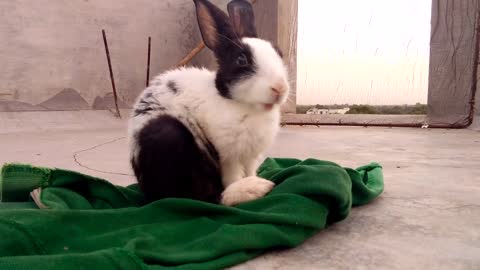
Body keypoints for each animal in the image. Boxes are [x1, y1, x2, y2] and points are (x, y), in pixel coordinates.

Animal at [127, 0, 290, 206]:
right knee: (199, 196)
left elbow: (249, 171)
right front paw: (245, 185)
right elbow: (233, 177)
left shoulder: (250, 158)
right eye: (241, 60)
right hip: (168, 138)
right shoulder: (228, 156)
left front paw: (253, 179)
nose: (279, 88)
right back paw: (254, 189)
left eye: (279, 53)